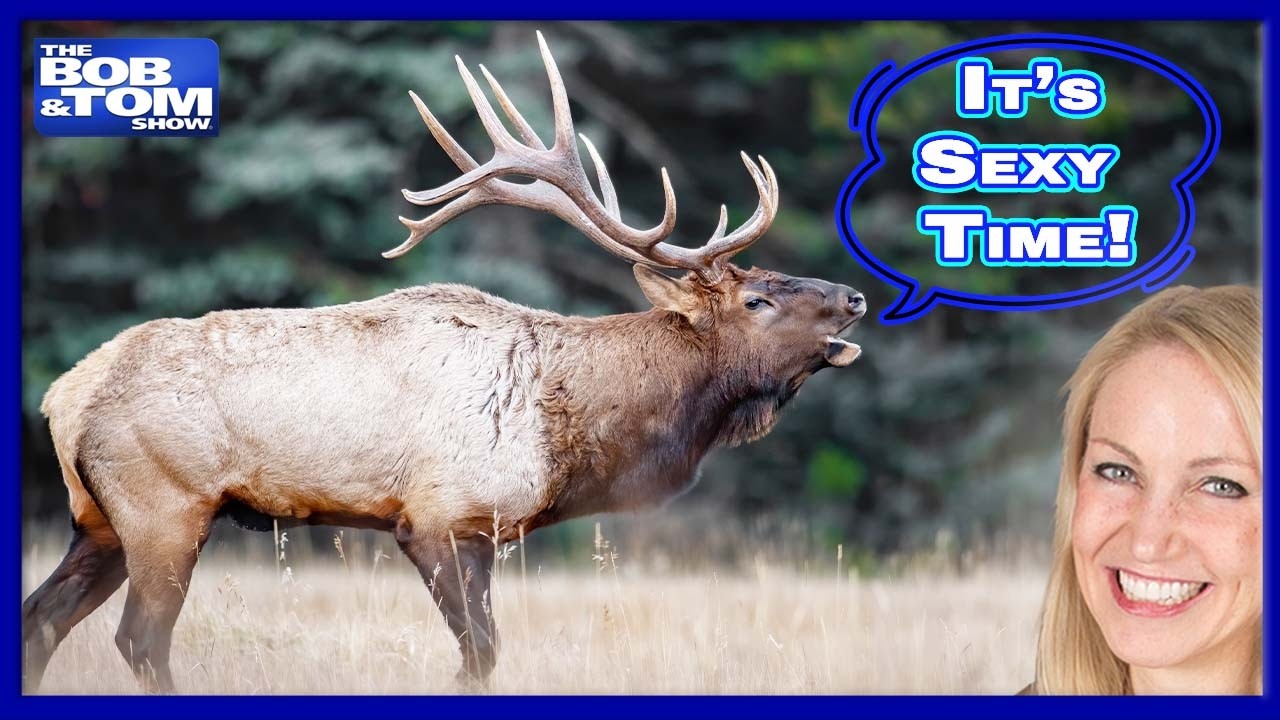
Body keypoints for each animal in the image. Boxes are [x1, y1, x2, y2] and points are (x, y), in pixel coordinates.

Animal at [22, 32, 866, 694]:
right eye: (757, 298)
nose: (855, 297)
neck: (574, 433)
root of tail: (63, 395)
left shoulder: (483, 532)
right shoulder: (440, 516)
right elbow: (480, 655)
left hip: (99, 521)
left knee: (41, 617)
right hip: (165, 506)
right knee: (139, 640)